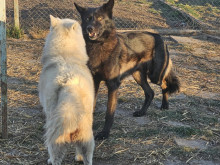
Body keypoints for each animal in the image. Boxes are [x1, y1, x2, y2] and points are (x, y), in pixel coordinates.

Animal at [38, 14, 94, 164]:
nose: (86, 30)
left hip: (55, 136)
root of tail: (70, 85)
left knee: (55, 156)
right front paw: (78, 157)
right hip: (86, 135)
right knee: (86, 155)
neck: (65, 55)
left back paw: (51, 160)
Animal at [75, 0, 180, 140]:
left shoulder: (113, 85)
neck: (98, 45)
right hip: (138, 76)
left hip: (155, 75)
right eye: (87, 18)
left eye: (100, 18)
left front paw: (105, 133)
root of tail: (159, 37)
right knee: (150, 93)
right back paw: (142, 112)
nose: (89, 28)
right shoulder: (94, 81)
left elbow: (109, 113)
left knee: (164, 84)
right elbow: (91, 105)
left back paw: (165, 104)